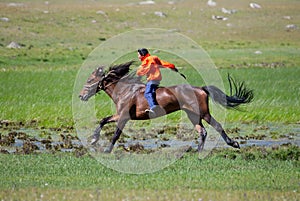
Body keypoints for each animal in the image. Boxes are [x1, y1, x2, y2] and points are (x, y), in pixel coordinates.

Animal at [79, 60, 253, 153]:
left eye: (90, 80)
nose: (81, 96)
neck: (124, 91)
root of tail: (201, 89)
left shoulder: (124, 117)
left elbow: (116, 134)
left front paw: (107, 150)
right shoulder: (119, 115)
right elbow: (103, 120)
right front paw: (94, 139)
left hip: (203, 113)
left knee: (216, 126)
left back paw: (233, 143)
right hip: (192, 115)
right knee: (202, 131)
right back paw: (197, 151)